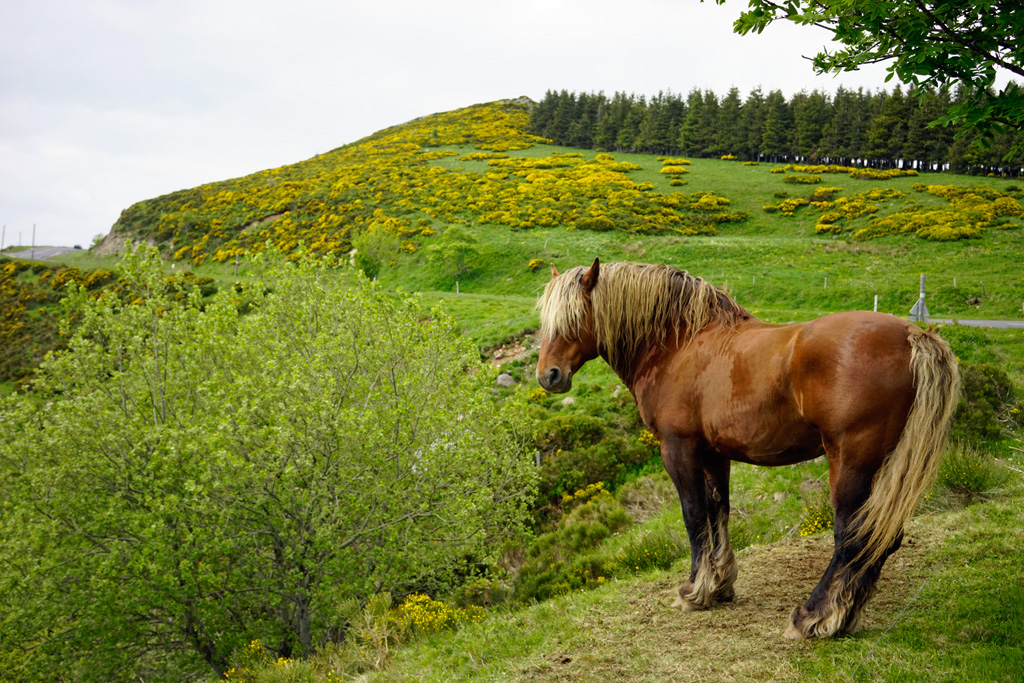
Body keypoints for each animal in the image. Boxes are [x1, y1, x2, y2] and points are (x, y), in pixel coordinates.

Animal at [536, 259, 958, 638]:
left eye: (575, 317)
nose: (548, 375)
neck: (680, 344)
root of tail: (913, 335)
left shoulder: (678, 449)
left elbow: (694, 515)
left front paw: (695, 591)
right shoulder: (713, 453)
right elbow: (717, 511)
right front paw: (720, 585)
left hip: (851, 463)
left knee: (852, 537)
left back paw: (815, 617)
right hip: (885, 468)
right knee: (880, 538)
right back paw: (847, 616)